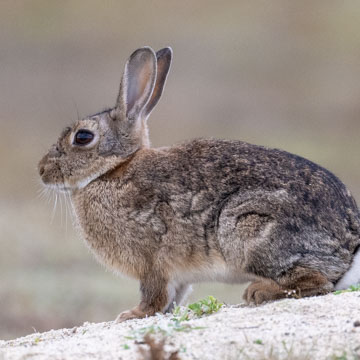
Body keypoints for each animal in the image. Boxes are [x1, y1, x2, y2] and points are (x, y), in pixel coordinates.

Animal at [38, 46, 360, 322]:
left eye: (82, 137)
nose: (41, 170)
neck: (113, 170)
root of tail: (350, 245)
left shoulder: (152, 261)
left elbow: (153, 295)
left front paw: (131, 315)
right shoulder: (177, 274)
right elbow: (173, 298)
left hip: (246, 227)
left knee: (317, 282)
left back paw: (258, 291)